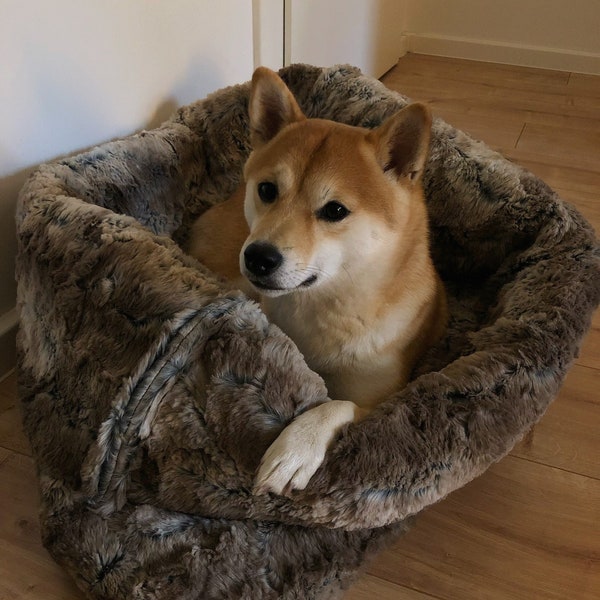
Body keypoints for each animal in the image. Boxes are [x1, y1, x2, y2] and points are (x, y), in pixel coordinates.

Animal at [190, 67, 448, 496]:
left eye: (335, 210)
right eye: (267, 190)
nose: (259, 257)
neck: (322, 306)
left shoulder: (381, 401)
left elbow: (336, 405)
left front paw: (297, 446)